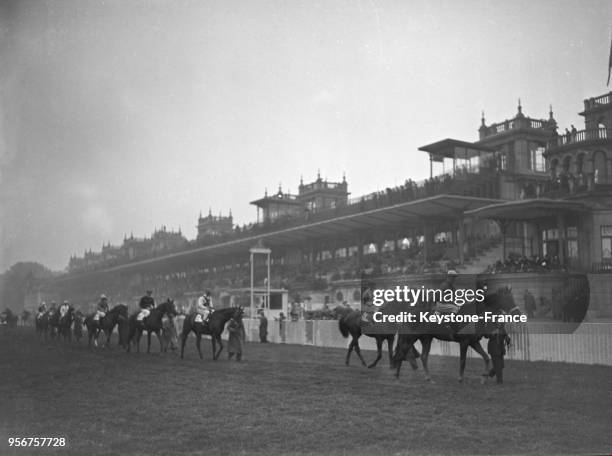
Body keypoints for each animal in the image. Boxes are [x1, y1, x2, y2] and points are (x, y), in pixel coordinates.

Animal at [392, 286, 520, 382]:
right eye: (508, 300)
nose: (518, 314)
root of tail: (408, 313)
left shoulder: (473, 342)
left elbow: (486, 357)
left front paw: (484, 377)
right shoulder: (464, 342)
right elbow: (463, 361)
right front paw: (460, 378)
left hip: (426, 339)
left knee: (423, 356)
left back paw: (428, 378)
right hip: (411, 337)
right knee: (402, 351)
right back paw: (396, 375)